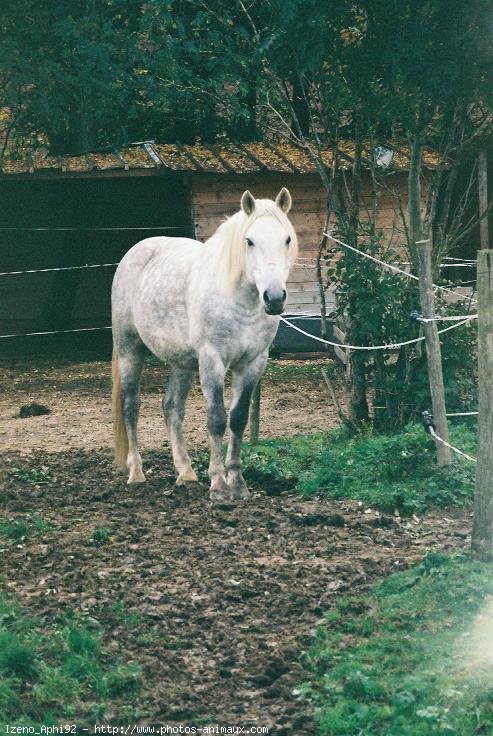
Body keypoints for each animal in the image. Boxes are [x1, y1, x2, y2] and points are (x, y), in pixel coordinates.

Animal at [111, 187, 296, 504]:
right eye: (249, 240)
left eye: (286, 239)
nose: (273, 297)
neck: (239, 301)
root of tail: (133, 254)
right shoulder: (212, 360)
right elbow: (216, 419)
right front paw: (219, 485)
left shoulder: (253, 362)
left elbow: (238, 419)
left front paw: (238, 484)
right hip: (130, 350)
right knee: (131, 407)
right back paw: (136, 473)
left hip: (182, 363)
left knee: (172, 408)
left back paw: (185, 473)